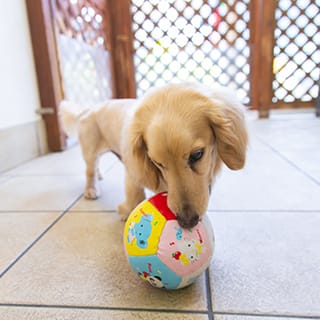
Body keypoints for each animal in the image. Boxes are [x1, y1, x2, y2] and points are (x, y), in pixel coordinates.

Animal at [59, 82, 248, 228]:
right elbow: (135, 195)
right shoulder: (133, 171)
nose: (187, 222)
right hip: (90, 150)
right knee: (90, 170)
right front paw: (127, 211)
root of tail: (89, 108)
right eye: (157, 163)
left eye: (197, 155)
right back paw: (91, 189)